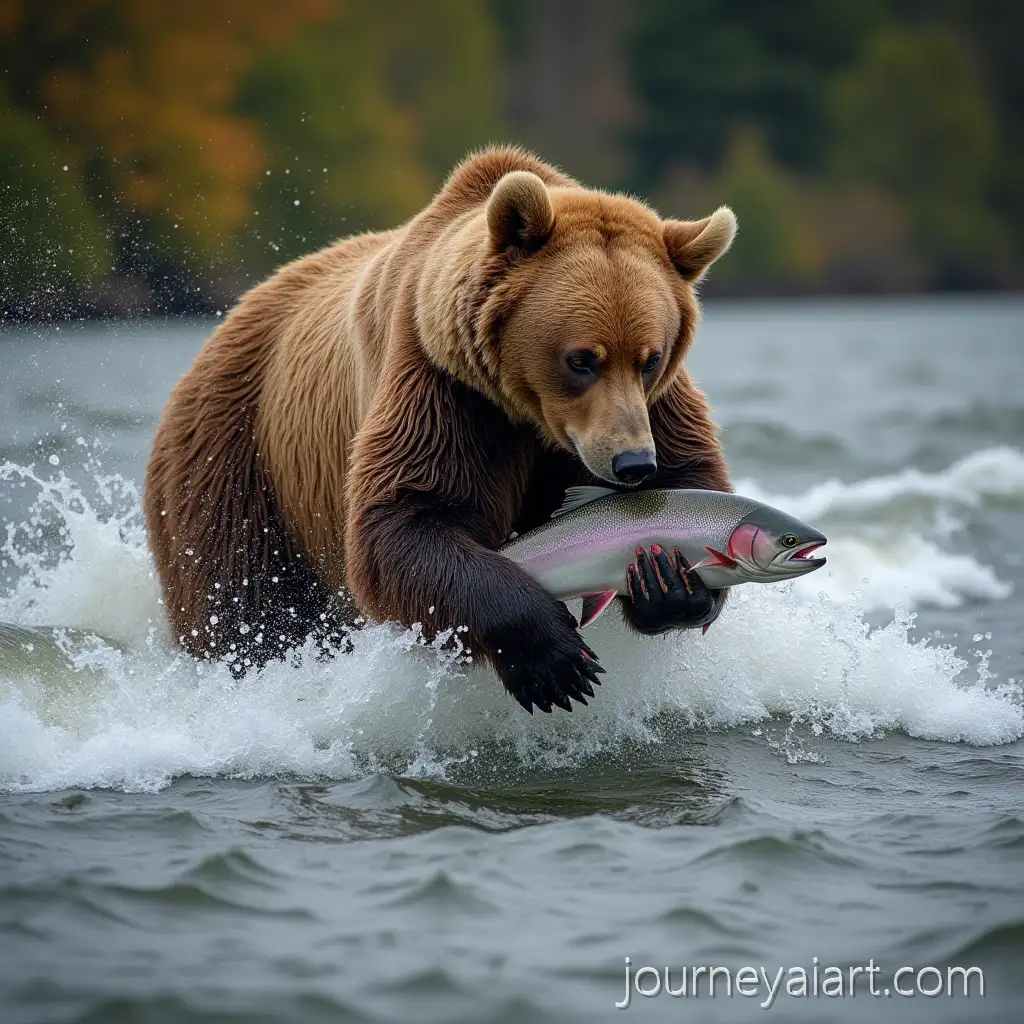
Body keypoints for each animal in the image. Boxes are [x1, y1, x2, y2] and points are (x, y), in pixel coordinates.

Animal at [144, 147, 736, 712]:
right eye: (581, 359)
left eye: (650, 358)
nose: (632, 463)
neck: (526, 412)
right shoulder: (442, 387)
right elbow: (407, 518)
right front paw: (552, 661)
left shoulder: (654, 407)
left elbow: (692, 469)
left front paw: (670, 583)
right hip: (239, 463)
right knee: (243, 599)